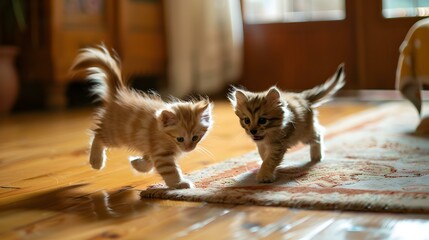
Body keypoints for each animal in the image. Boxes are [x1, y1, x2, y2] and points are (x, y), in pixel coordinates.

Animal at [68, 44, 212, 188]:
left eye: (195, 138)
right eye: (180, 139)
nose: (189, 148)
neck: (163, 134)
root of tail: (118, 95)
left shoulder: (152, 150)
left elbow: (148, 162)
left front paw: (137, 164)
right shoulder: (161, 154)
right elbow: (170, 171)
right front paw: (180, 184)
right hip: (115, 135)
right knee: (98, 135)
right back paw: (96, 161)